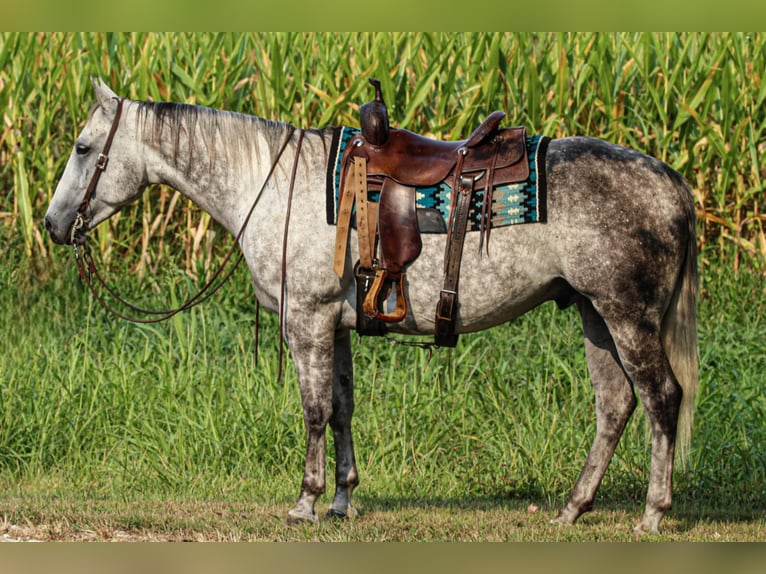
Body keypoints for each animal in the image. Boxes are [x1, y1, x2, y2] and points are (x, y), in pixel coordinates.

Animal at [44, 78, 698, 534]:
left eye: (82, 146)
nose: (52, 224)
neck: (273, 186)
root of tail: (671, 181)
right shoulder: (334, 326)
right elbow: (341, 408)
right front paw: (342, 500)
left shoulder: (307, 322)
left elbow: (312, 411)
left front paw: (305, 502)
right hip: (593, 313)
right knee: (614, 405)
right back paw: (573, 508)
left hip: (626, 314)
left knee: (661, 398)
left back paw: (652, 512)